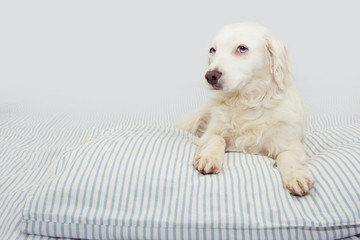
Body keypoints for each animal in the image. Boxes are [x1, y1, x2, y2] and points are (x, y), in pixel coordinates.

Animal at [177, 22, 316, 196]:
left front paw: (297, 176)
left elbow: (286, 156)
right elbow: (218, 138)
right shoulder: (210, 133)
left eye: (242, 48)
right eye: (213, 50)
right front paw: (209, 157)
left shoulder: (292, 145)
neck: (245, 101)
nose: (210, 76)